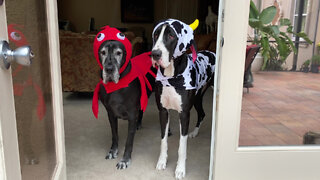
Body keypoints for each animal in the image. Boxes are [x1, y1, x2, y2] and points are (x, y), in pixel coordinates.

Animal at [92, 26, 156, 169]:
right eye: (102, 52)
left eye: (119, 53)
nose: (109, 69)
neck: (116, 86)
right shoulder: (111, 113)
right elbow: (114, 135)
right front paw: (113, 151)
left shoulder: (131, 115)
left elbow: (128, 141)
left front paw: (125, 160)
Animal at [151, 19, 216, 179]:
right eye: (156, 35)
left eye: (171, 36)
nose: (155, 54)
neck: (171, 76)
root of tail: (212, 52)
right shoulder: (163, 111)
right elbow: (163, 140)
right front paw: (162, 162)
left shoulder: (184, 114)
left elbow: (182, 146)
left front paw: (180, 169)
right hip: (198, 98)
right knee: (202, 113)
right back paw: (195, 132)